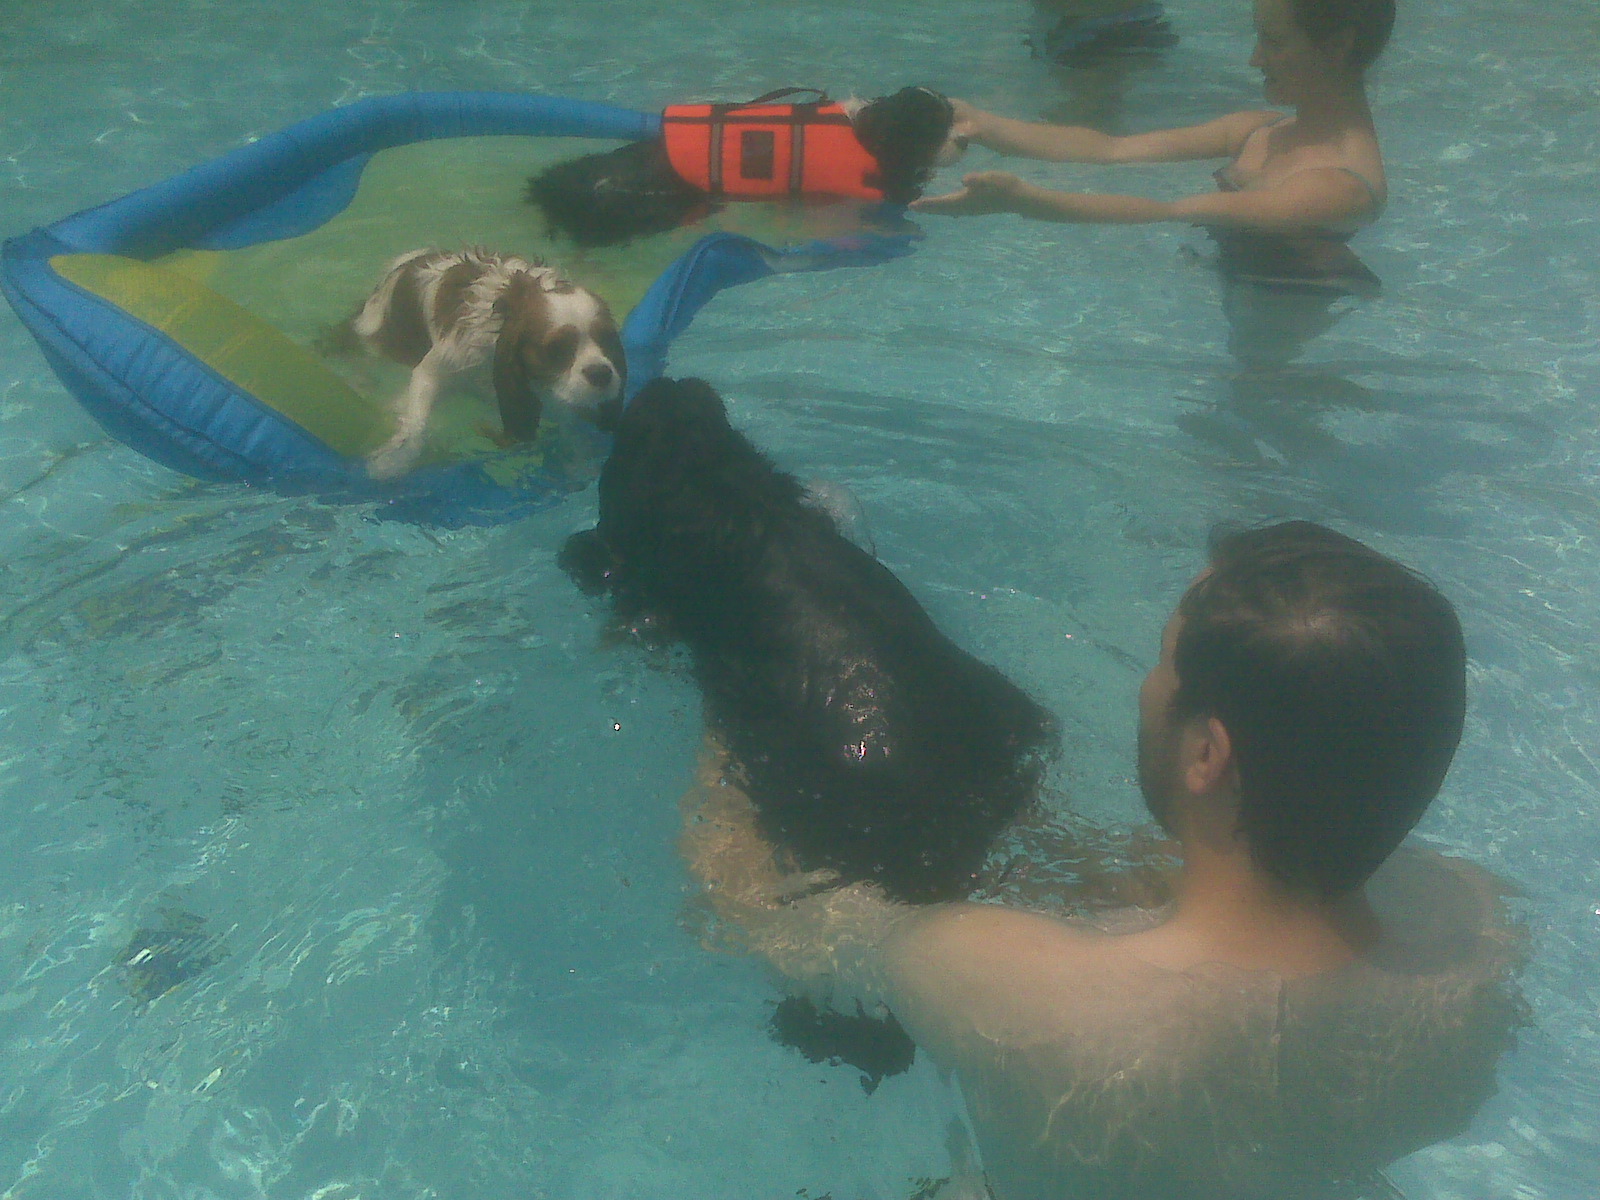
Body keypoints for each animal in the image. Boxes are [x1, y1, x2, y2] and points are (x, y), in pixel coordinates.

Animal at [335, 248, 626, 480]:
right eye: (556, 349)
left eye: (608, 338)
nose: (601, 373)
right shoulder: (437, 369)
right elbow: (417, 424)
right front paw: (393, 460)